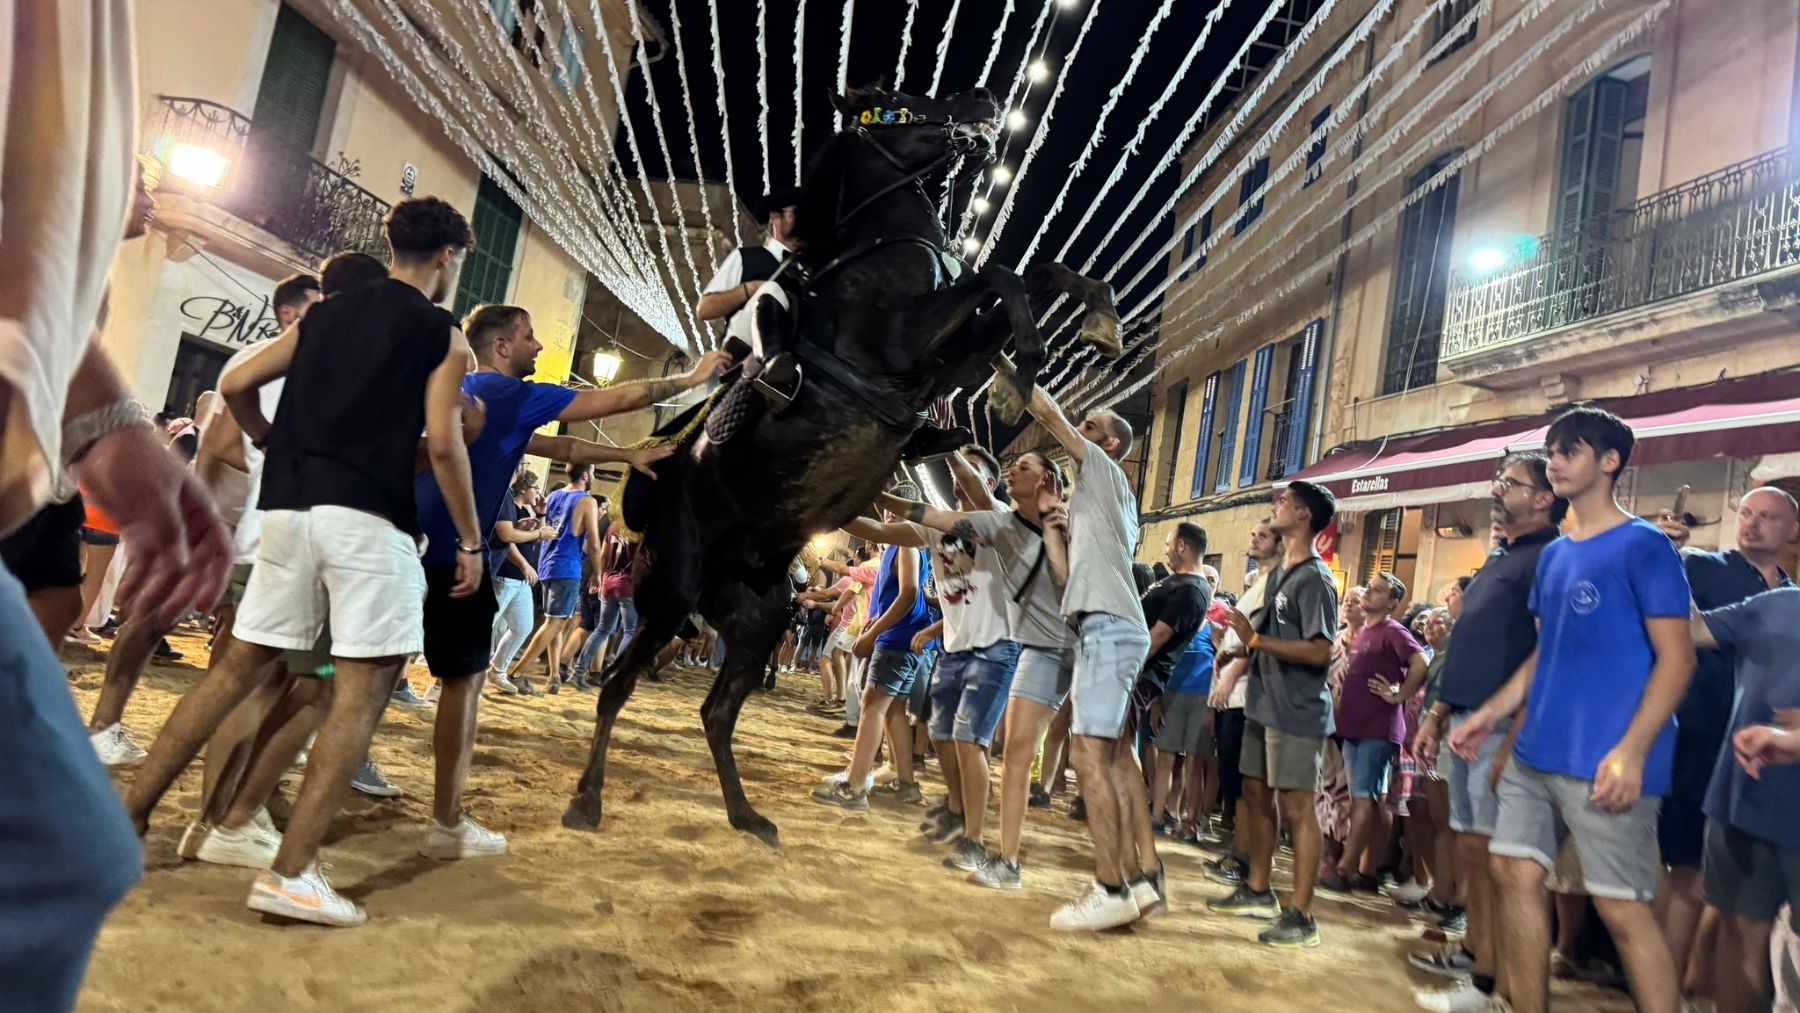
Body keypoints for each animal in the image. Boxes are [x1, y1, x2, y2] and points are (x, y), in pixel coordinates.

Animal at [565, 85, 1123, 849]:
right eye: (892, 108)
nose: (982, 100)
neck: (877, 246)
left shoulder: (941, 359)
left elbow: (1029, 276)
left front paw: (1090, 325)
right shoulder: (909, 341)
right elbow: (1004, 275)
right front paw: (1027, 371)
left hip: (760, 620)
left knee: (715, 711)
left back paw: (746, 815)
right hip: (671, 596)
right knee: (618, 683)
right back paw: (587, 799)